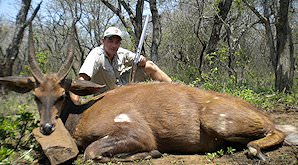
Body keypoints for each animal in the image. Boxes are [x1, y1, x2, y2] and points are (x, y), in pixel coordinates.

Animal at [0, 25, 294, 163]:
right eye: (36, 96)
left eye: (62, 94)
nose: (47, 127)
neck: (81, 114)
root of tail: (262, 114)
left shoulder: (136, 133)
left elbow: (91, 152)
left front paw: (150, 154)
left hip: (219, 122)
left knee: (274, 132)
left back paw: (256, 151)